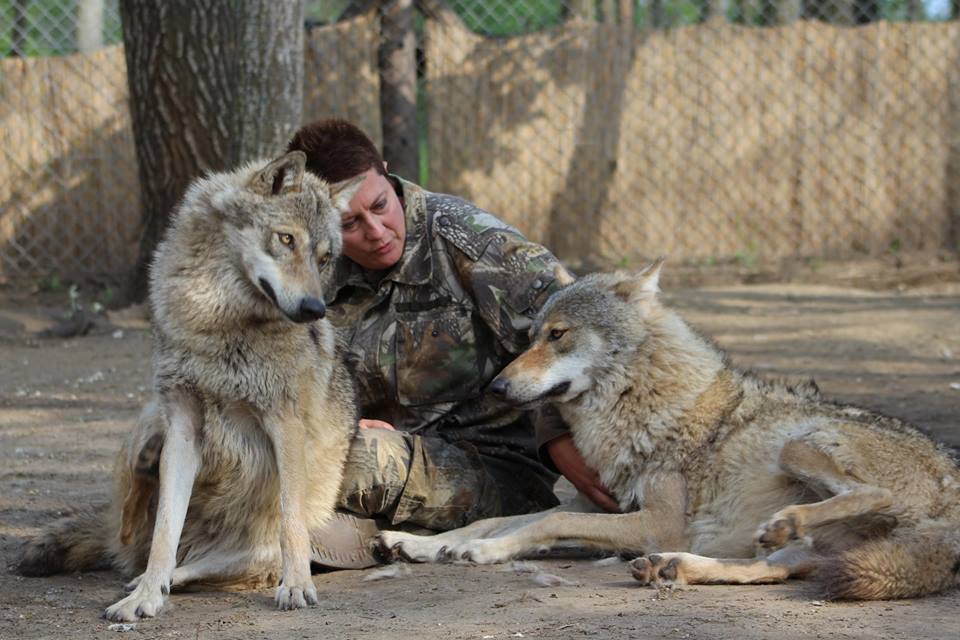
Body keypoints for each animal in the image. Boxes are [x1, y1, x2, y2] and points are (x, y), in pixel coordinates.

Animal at [18, 150, 364, 620]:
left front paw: (296, 586)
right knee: (131, 530)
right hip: (149, 419)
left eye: (325, 258)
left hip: (269, 537)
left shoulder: (285, 423)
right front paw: (143, 598)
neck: (218, 321)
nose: (315, 309)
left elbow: (291, 522)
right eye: (286, 239)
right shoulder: (183, 425)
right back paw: (144, 564)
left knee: (225, 559)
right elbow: (165, 531)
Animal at [380, 260, 960, 600]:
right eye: (529, 337)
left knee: (872, 494)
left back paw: (780, 523)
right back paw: (672, 569)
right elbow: (502, 519)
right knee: (771, 570)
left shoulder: (656, 522)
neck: (639, 402)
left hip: (799, 445)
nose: (497, 388)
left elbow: (544, 523)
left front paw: (483, 553)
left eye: (558, 335)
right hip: (806, 545)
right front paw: (422, 544)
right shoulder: (602, 508)